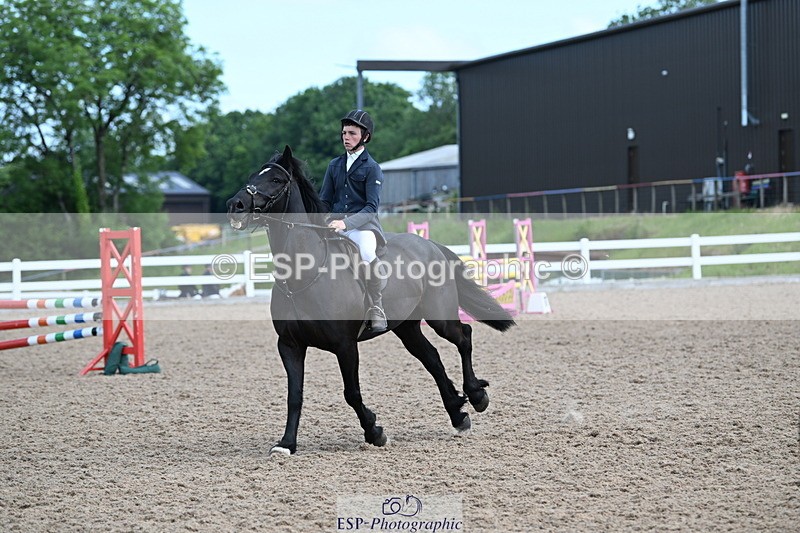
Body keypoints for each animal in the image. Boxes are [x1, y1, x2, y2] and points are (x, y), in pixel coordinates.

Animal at [226, 145, 515, 455]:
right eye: (253, 175)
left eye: (276, 180)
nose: (235, 205)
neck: (303, 275)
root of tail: (429, 245)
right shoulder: (290, 345)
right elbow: (295, 395)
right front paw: (286, 444)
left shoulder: (345, 345)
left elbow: (351, 393)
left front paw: (375, 431)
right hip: (406, 327)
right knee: (433, 359)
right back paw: (458, 414)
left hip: (440, 317)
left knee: (464, 336)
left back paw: (477, 396)